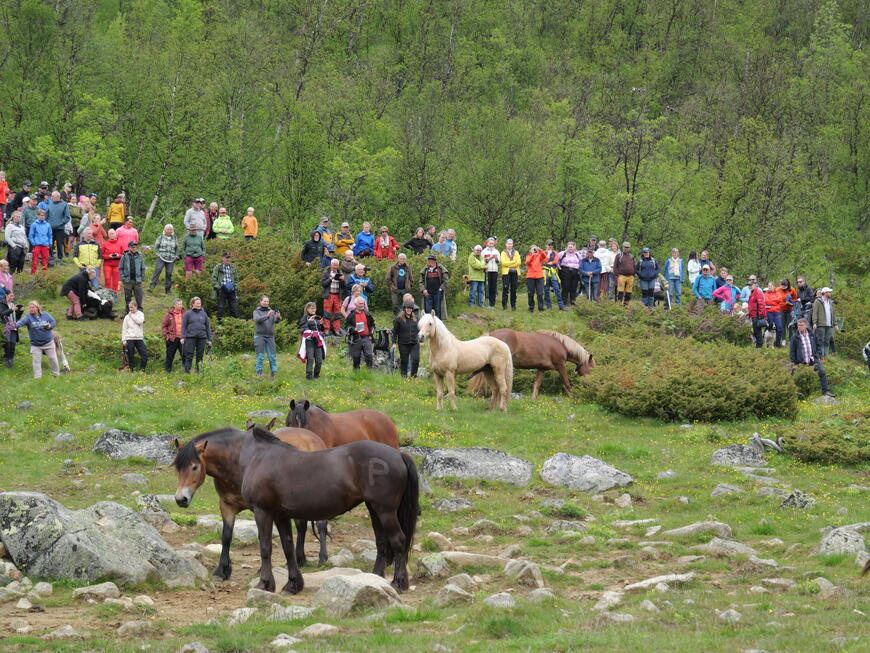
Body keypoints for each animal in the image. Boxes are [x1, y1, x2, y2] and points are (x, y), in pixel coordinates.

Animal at [174, 422, 330, 580]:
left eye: (194, 467)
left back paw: (322, 558)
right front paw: (222, 570)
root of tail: (312, 437)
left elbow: (263, 538)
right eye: (177, 468)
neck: (235, 462)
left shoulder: (260, 509)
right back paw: (300, 559)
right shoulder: (227, 505)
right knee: (301, 526)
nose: (181, 499)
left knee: (320, 525)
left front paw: (262, 570)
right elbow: (226, 536)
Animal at [240, 426, 420, 592]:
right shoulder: (280, 515)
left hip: (385, 511)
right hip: (375, 510)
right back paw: (375, 578)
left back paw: (398, 582)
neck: (259, 457)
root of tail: (399, 455)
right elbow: (288, 547)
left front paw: (264, 583)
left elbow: (265, 547)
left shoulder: (263, 512)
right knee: (382, 542)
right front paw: (292, 584)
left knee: (398, 540)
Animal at [470, 326, 600, 398]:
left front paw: (533, 399)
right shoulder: (561, 365)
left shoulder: (541, 369)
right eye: (591, 369)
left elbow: (537, 384)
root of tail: (491, 335)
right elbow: (566, 383)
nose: (591, 384)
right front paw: (573, 397)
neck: (559, 344)